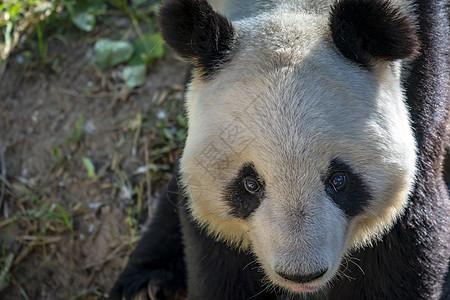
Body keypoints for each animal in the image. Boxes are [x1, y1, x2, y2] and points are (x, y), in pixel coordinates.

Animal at [110, 0, 448, 298]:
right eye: (250, 184)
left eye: (338, 179)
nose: (301, 274)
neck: (295, 8)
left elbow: (404, 241)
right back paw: (145, 284)